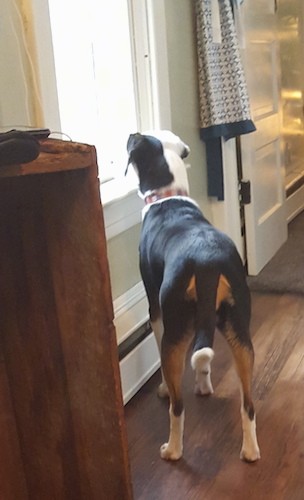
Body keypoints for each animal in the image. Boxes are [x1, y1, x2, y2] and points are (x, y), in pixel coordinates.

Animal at [126, 131, 262, 462]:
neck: (168, 195)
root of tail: (206, 261)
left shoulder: (156, 311)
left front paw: (164, 388)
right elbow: (203, 360)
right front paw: (204, 384)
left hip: (174, 332)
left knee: (177, 407)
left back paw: (172, 449)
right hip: (240, 331)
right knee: (248, 404)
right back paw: (251, 450)